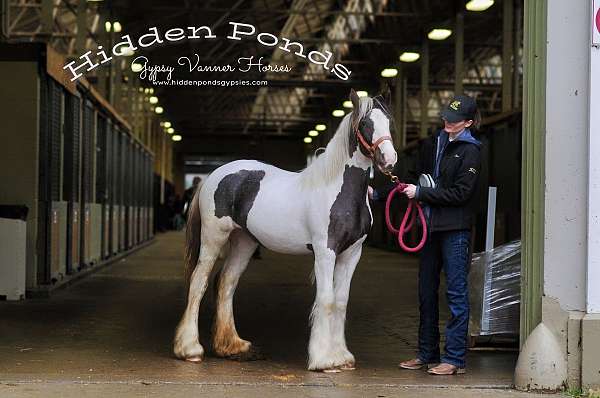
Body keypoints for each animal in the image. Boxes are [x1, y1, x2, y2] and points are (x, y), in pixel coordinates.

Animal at [173, 88, 398, 374]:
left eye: (389, 122)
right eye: (365, 124)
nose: (388, 160)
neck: (338, 190)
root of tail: (214, 175)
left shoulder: (351, 254)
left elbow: (341, 300)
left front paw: (342, 356)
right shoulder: (325, 252)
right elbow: (326, 299)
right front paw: (323, 360)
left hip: (244, 242)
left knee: (226, 283)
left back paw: (233, 346)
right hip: (213, 239)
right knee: (199, 283)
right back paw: (190, 350)